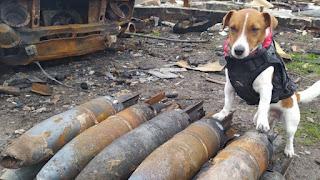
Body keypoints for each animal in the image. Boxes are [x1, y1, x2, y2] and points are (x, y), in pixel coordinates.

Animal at [214, 8, 320, 158]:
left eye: (255, 29)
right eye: (233, 28)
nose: (238, 50)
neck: (245, 63)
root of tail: (295, 96)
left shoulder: (265, 89)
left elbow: (263, 105)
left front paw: (262, 122)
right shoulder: (229, 87)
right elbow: (227, 103)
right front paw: (223, 113)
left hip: (291, 122)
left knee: (290, 136)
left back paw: (289, 149)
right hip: (269, 116)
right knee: (270, 122)